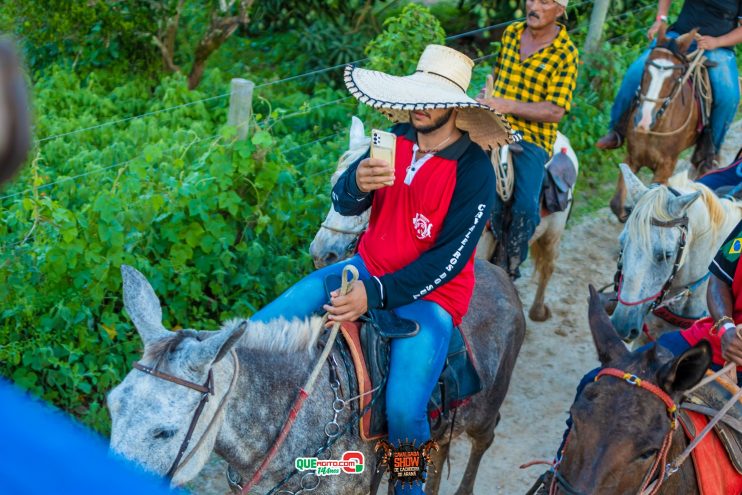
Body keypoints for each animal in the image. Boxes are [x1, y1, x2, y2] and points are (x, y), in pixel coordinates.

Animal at [310, 118, 580, 324]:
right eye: (335, 180)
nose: (321, 254)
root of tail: (565, 144)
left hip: (552, 233)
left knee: (548, 267)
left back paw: (538, 311)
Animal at [612, 26, 708, 221]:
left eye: (676, 77)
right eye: (646, 67)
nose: (643, 120)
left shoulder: (665, 168)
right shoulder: (632, 157)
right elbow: (617, 204)